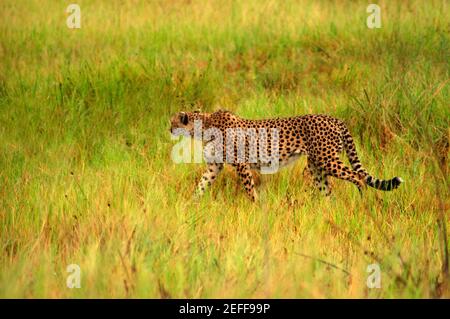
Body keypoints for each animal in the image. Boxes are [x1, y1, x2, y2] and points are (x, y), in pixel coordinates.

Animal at [171, 110, 402, 202]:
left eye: (172, 122)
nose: (169, 129)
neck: (205, 126)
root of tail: (334, 119)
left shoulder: (242, 165)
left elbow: (249, 189)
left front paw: (255, 206)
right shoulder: (215, 166)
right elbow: (202, 184)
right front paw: (191, 203)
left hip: (328, 160)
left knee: (359, 178)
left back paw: (361, 203)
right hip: (316, 166)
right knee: (328, 190)